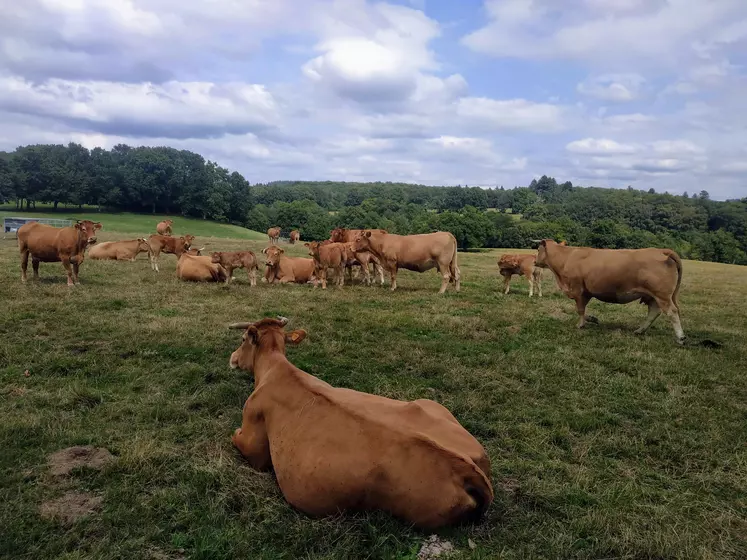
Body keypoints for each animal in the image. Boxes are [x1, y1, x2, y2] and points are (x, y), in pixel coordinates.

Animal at [228, 318, 496, 532]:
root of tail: (466, 468)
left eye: (242, 339)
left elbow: (237, 438)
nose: (232, 359)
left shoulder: (253, 432)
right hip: (431, 406)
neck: (277, 369)